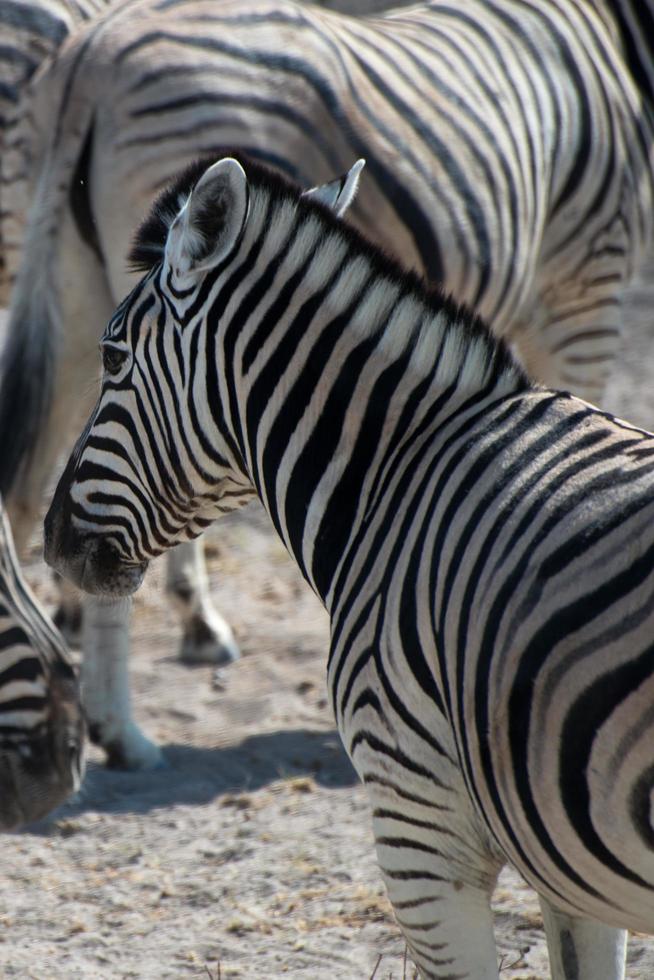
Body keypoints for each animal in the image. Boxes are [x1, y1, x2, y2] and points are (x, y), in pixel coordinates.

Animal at [2, 0, 652, 772]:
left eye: (116, 358)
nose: (60, 543)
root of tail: (90, 54)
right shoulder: (586, 287)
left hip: (64, 275)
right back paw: (122, 727)